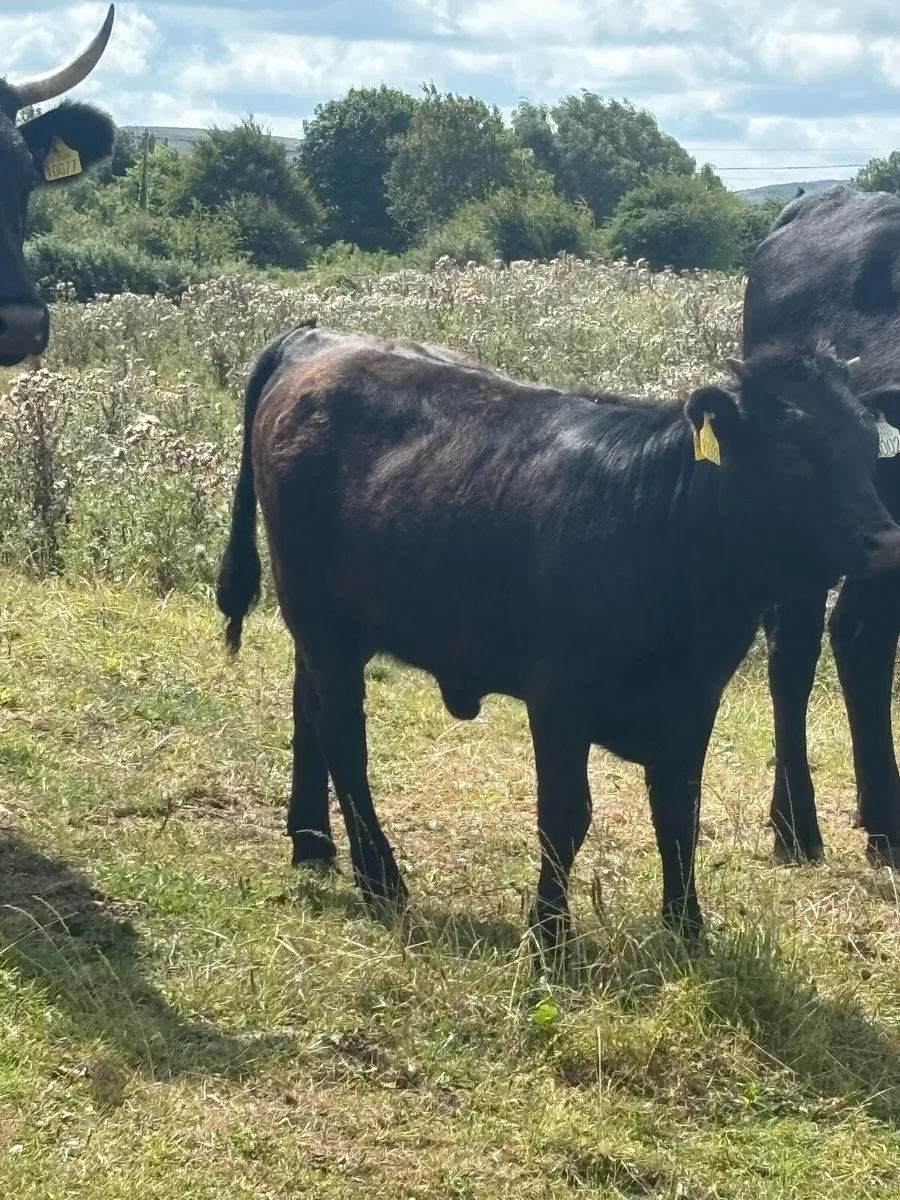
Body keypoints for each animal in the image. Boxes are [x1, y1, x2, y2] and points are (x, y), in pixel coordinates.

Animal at [215, 321, 900, 958]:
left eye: (869, 451)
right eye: (793, 456)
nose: (884, 540)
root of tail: (316, 337)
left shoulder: (695, 700)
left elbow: (679, 813)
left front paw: (687, 929)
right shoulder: (560, 697)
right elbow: (566, 816)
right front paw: (549, 933)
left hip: (332, 624)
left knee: (308, 709)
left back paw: (312, 842)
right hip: (319, 613)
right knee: (343, 736)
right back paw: (380, 878)